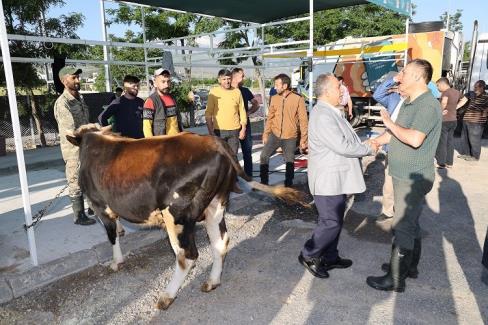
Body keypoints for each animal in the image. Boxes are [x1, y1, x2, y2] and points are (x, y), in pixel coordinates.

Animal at [66, 124, 306, 308]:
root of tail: (215, 143)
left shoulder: (99, 205)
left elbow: (111, 235)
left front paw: (116, 262)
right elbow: (117, 229)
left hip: (176, 214)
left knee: (187, 255)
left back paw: (166, 297)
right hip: (215, 206)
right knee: (220, 243)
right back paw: (212, 282)